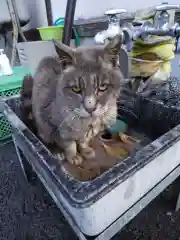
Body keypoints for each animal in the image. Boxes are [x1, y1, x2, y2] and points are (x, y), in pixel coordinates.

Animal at [23, 37, 123, 165]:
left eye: (103, 87)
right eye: (75, 89)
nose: (90, 108)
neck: (88, 122)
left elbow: (83, 141)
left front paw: (85, 150)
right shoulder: (56, 126)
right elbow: (69, 144)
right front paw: (73, 156)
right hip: (41, 123)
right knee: (44, 137)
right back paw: (56, 152)